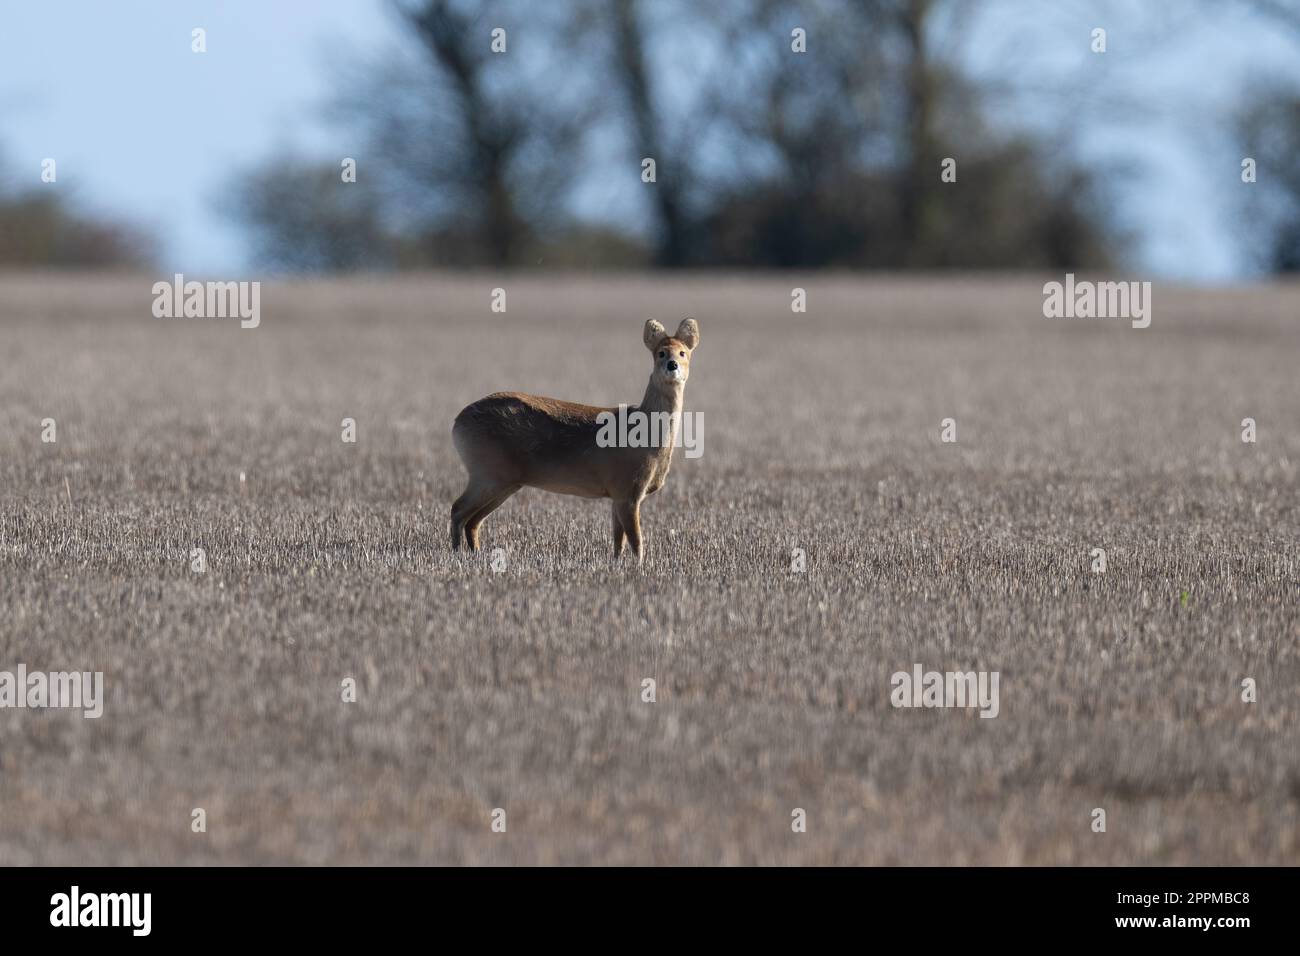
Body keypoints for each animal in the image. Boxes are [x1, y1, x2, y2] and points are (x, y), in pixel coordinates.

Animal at [454, 317, 707, 564]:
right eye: (661, 353)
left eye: (683, 352)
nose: (672, 365)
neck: (647, 437)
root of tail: (457, 424)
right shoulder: (628, 487)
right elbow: (636, 541)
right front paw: (640, 567)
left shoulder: (617, 493)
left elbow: (618, 540)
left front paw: (617, 565)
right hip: (488, 471)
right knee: (458, 510)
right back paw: (456, 554)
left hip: (504, 480)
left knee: (473, 520)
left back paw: (475, 553)